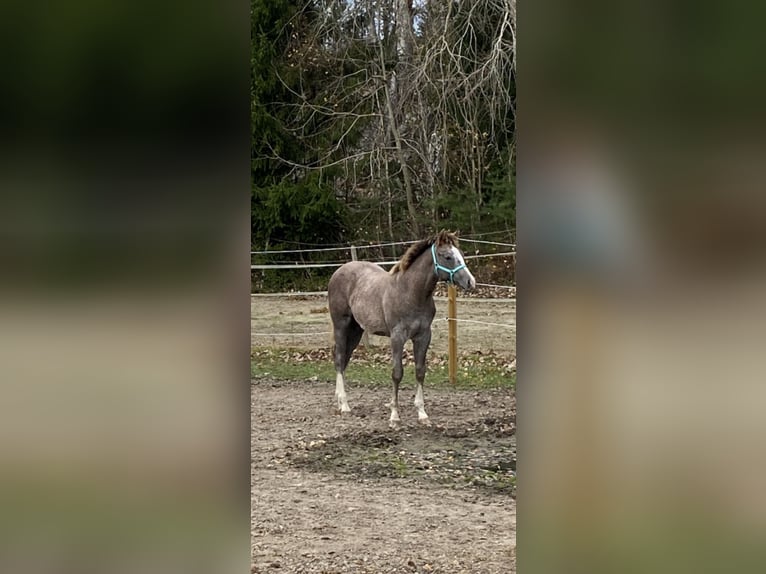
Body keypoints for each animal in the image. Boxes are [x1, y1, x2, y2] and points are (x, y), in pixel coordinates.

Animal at [328, 232, 476, 430]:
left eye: (461, 254)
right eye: (447, 256)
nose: (470, 282)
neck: (410, 292)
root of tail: (338, 272)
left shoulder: (423, 336)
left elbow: (420, 371)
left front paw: (422, 414)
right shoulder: (397, 336)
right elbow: (397, 373)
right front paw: (394, 417)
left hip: (356, 330)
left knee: (344, 360)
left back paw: (339, 402)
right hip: (341, 325)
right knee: (338, 359)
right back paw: (344, 405)